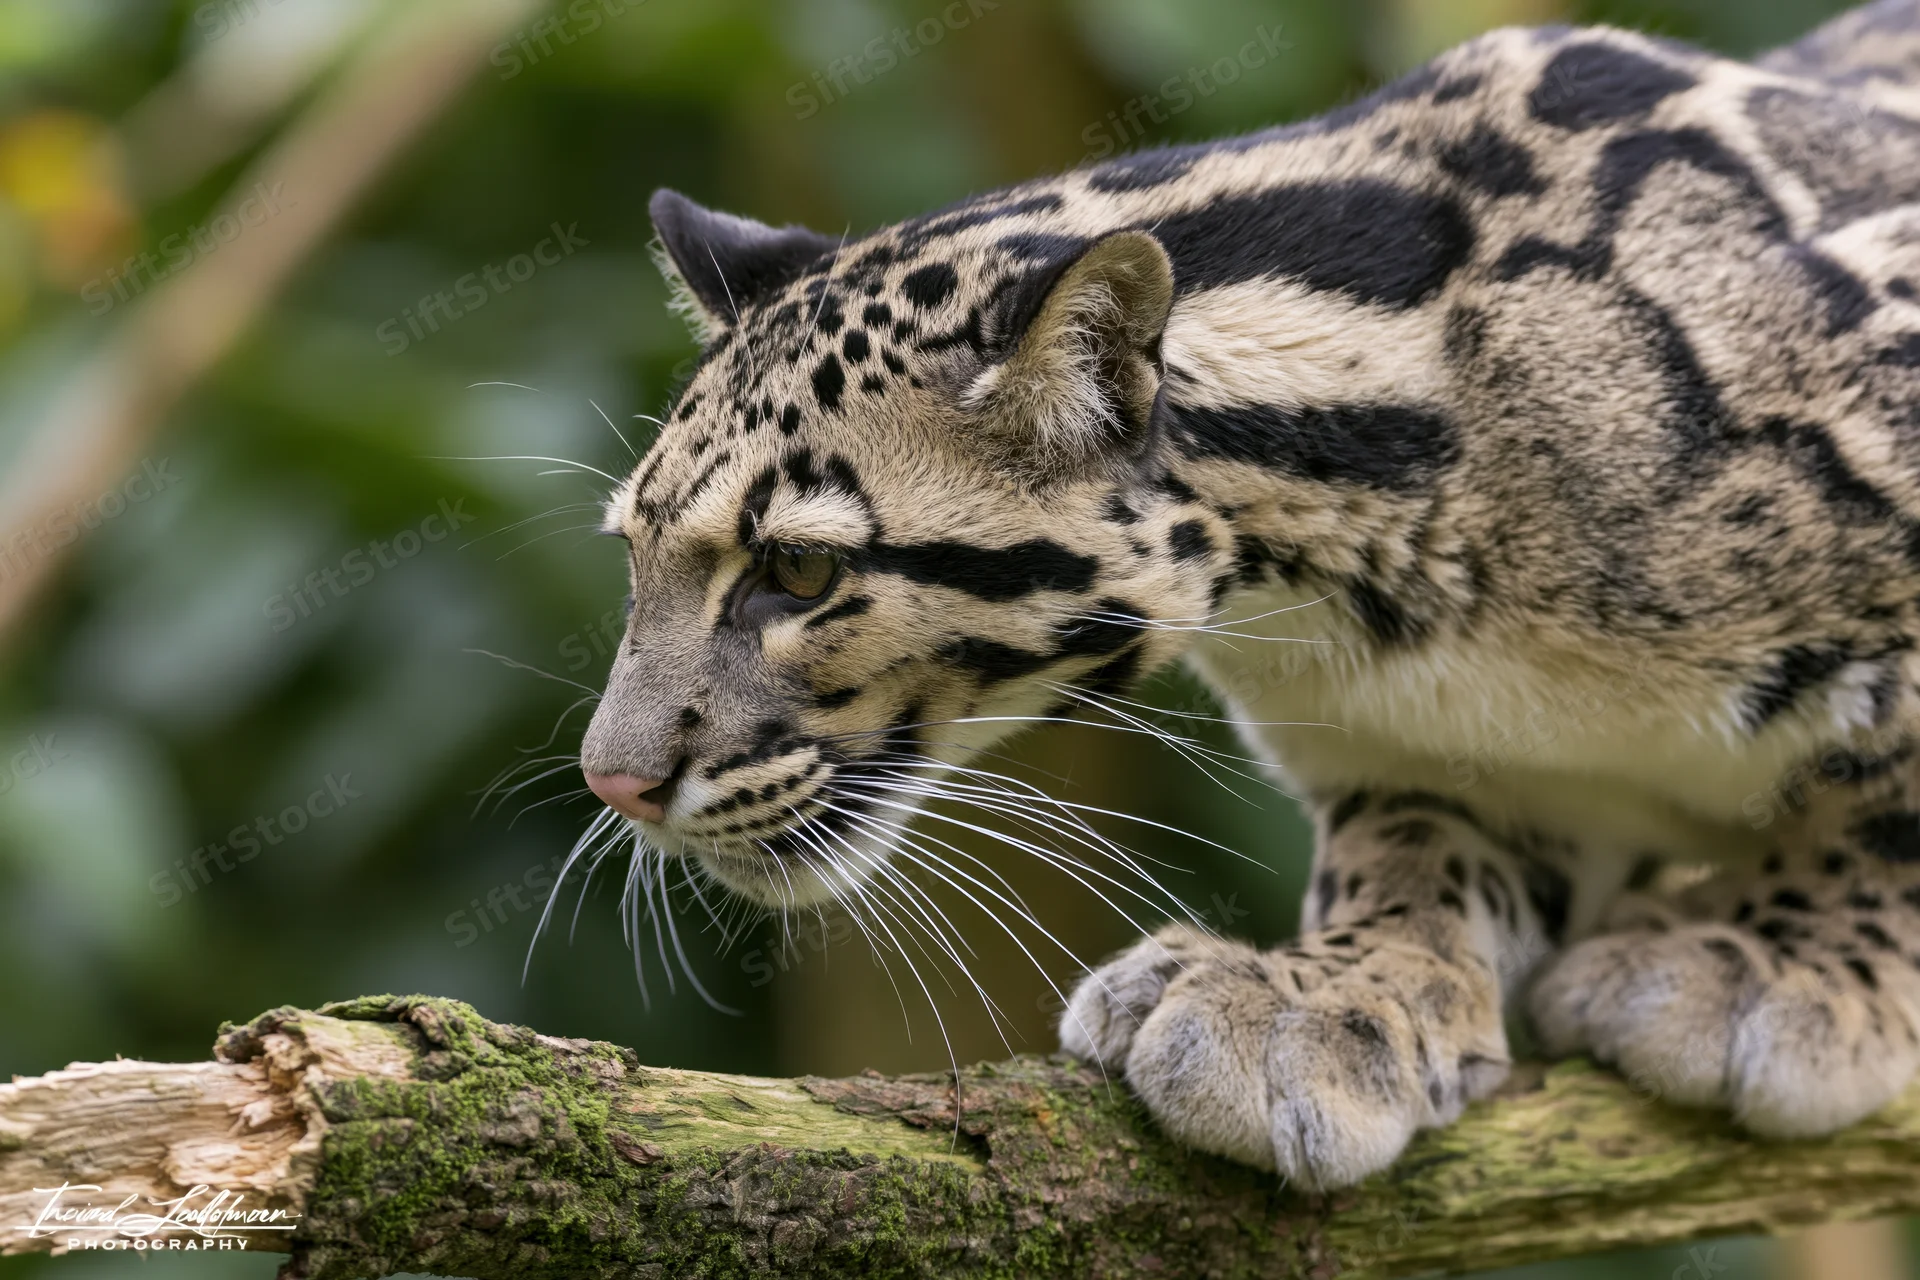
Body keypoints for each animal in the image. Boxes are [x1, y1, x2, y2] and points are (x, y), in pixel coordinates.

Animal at [578, 0, 1920, 1190]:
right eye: (631, 552)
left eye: (799, 571)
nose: (612, 781)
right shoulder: (1426, 746)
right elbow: (1414, 843)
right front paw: (1333, 991)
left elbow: (1882, 808)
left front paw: (1790, 959)